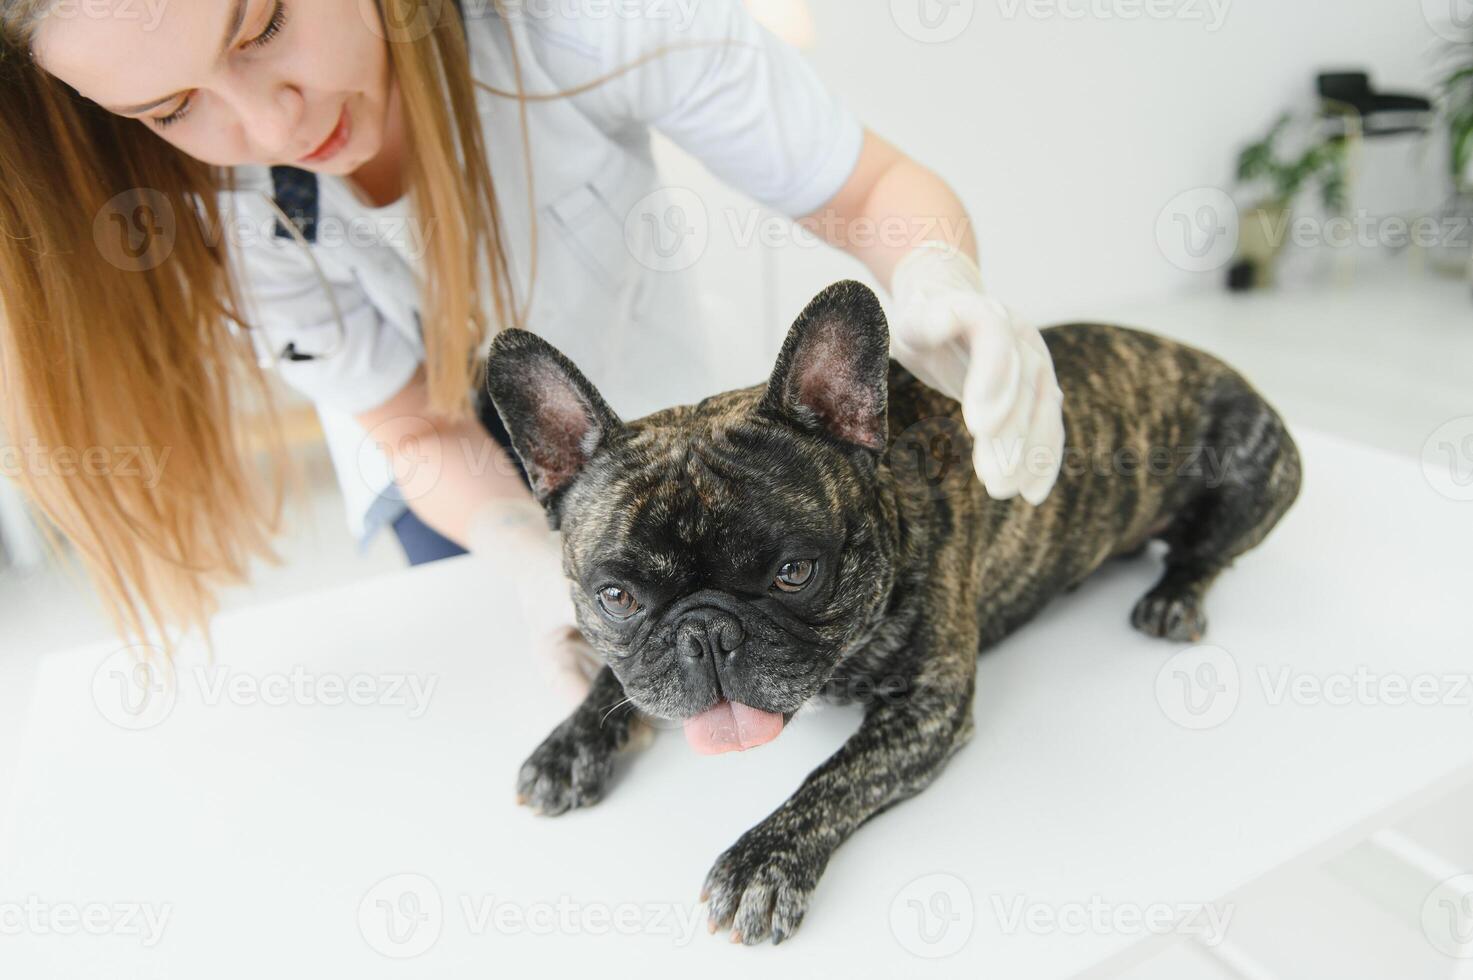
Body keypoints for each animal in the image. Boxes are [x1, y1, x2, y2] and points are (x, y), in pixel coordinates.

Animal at [483, 278, 1302, 943]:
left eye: (795, 573)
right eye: (617, 597)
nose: (707, 632)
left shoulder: (926, 707)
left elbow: (836, 776)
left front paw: (764, 858)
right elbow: (611, 681)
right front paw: (570, 742)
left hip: (1255, 468)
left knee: (1207, 553)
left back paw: (1171, 596)